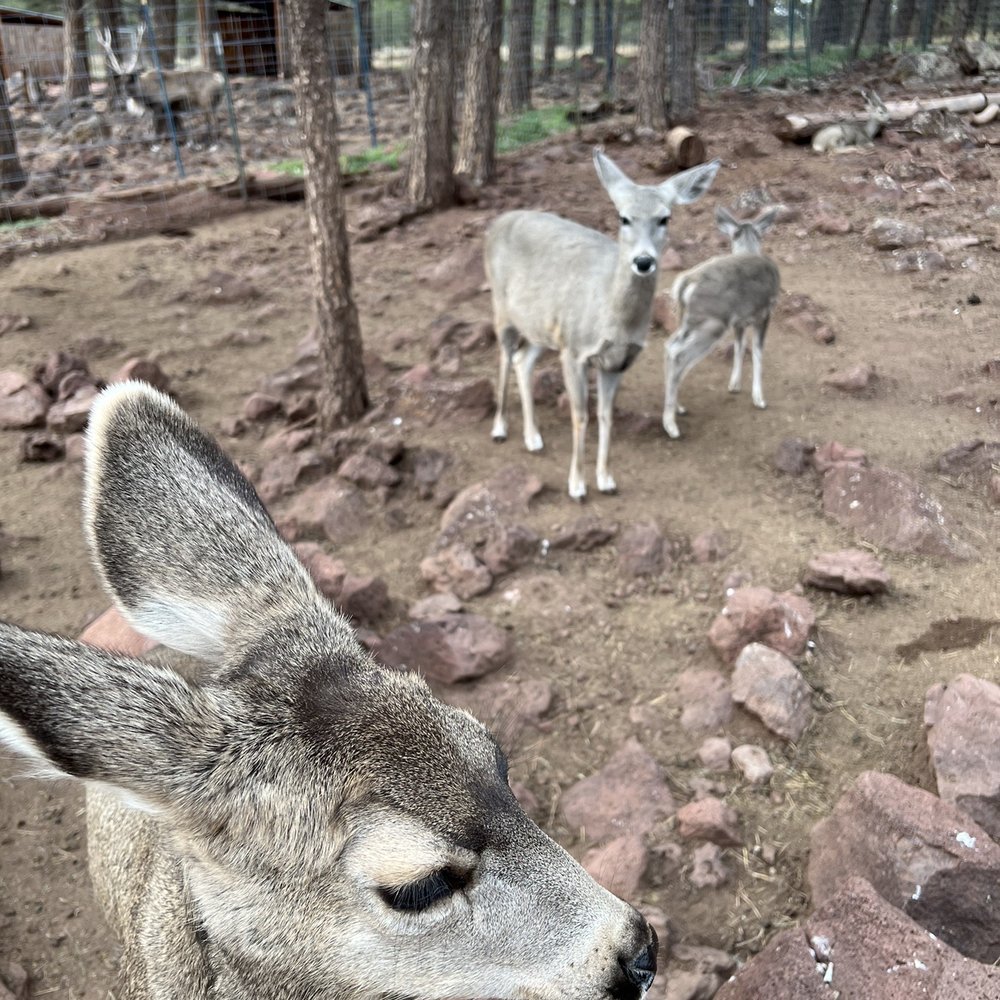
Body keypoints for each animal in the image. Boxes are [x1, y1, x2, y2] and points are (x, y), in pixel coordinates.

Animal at [486, 148, 721, 500]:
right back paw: (500, 428)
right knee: (504, 356)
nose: (643, 261)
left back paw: (533, 438)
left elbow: (606, 417)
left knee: (522, 360)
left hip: (543, 326)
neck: (611, 319)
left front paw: (606, 479)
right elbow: (580, 416)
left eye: (665, 218)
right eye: (623, 218)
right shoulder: (574, 351)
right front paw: (577, 485)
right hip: (502, 306)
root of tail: (495, 224)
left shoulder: (616, 361)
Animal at [662, 205, 780, 439]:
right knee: (678, 354)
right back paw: (670, 425)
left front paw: (734, 385)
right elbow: (758, 352)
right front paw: (759, 399)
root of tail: (685, 283)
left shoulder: (739, 321)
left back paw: (679, 408)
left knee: (671, 347)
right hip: (712, 323)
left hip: (687, 321)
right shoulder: (764, 313)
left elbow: (739, 348)